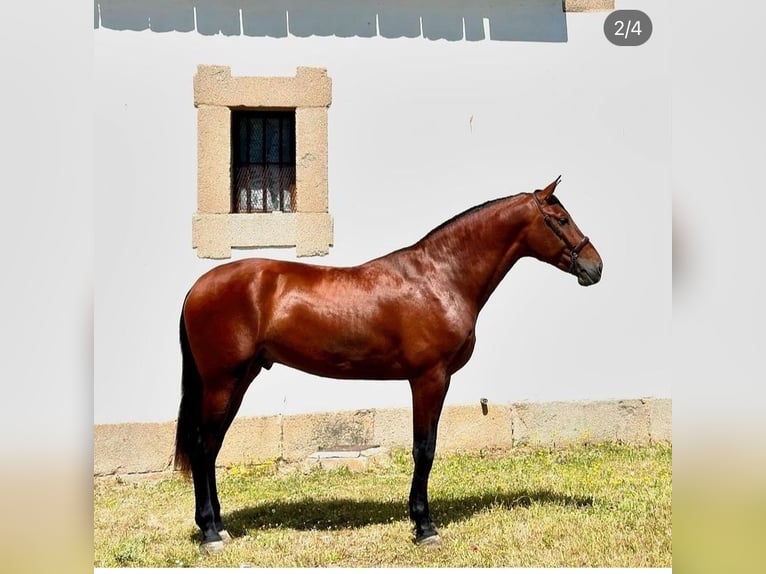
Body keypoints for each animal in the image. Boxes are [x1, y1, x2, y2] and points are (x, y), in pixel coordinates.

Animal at [177, 177, 604, 552]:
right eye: (560, 219)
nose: (595, 266)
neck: (440, 277)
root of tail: (196, 288)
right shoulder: (430, 378)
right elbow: (424, 449)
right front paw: (424, 526)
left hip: (239, 379)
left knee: (212, 446)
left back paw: (218, 526)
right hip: (222, 381)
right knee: (202, 446)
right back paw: (211, 533)